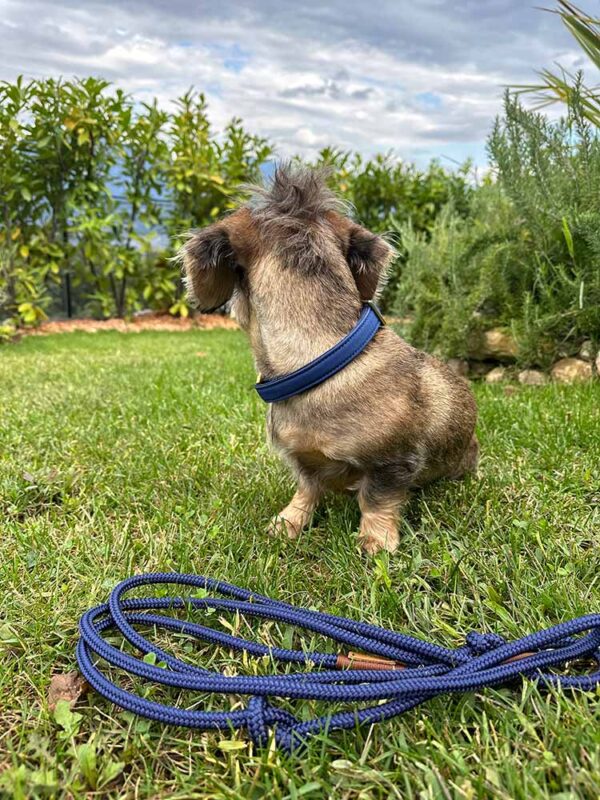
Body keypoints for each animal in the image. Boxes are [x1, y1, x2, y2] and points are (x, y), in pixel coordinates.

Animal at [180, 166, 480, 552]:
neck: (321, 361)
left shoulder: (392, 463)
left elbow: (377, 499)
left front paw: (375, 540)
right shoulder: (302, 461)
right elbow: (307, 489)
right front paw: (290, 521)